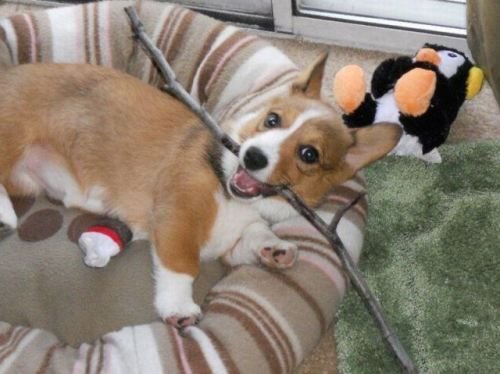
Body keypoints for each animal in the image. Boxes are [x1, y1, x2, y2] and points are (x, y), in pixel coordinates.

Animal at [0, 54, 400, 328]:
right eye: (272, 120)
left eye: (309, 154)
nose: (253, 156)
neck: (233, 195)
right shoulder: (177, 215)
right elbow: (182, 266)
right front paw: (178, 307)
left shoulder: (233, 243)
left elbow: (256, 235)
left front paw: (274, 248)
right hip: (11, 139)